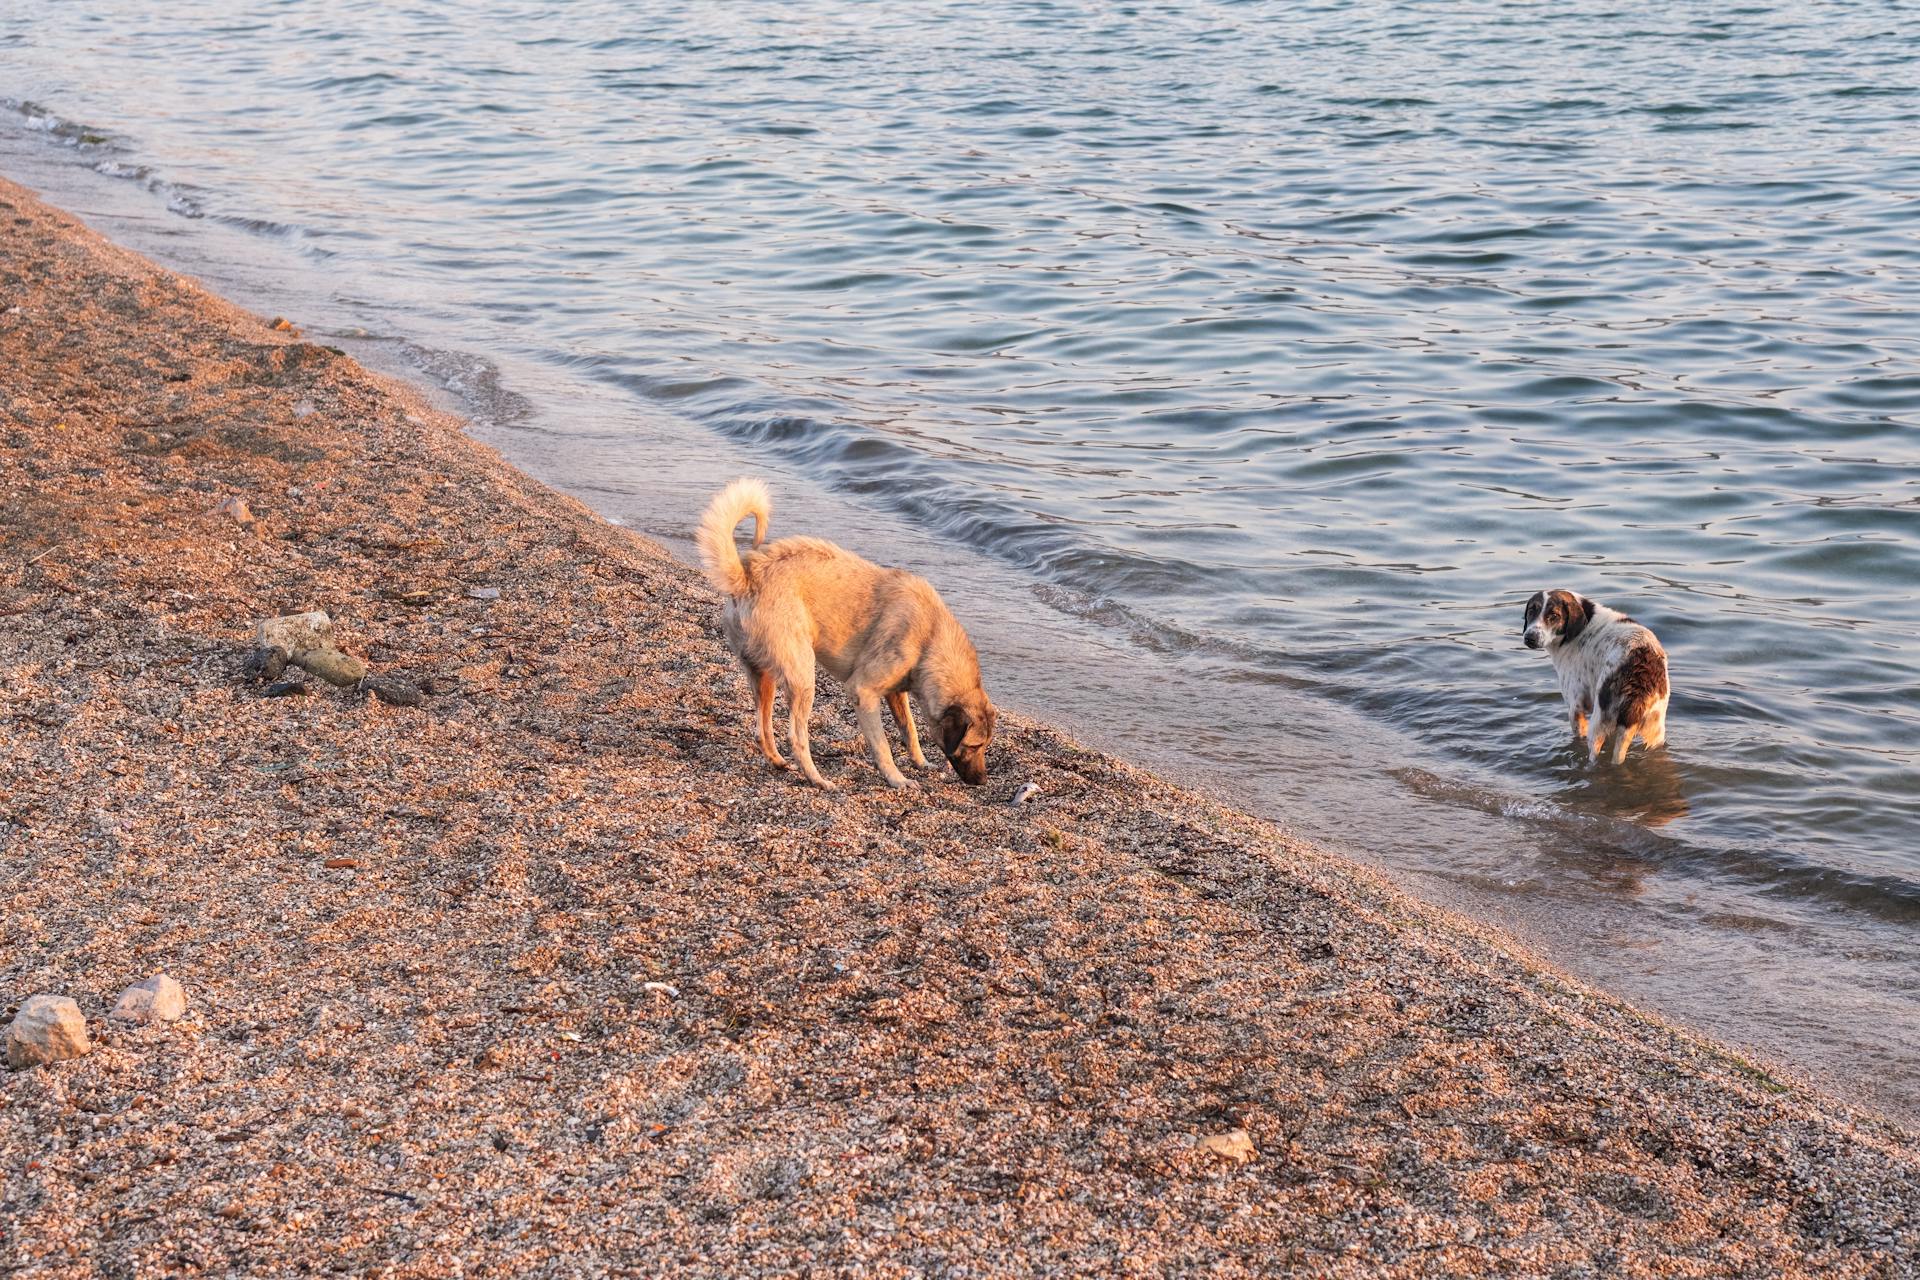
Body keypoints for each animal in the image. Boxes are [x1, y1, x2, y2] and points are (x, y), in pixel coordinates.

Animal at [695, 479, 998, 790]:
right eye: (973, 746)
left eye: (985, 746)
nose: (982, 780)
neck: (930, 638)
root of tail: (747, 579)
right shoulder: (863, 692)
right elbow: (883, 746)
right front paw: (897, 779)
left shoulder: (896, 693)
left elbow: (910, 730)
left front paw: (921, 762)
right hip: (803, 678)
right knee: (797, 737)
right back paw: (818, 779)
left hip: (763, 676)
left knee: (762, 728)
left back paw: (778, 762)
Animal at [1528, 587, 1666, 759]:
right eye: (1531, 611)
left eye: (1553, 615)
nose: (1529, 637)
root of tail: (1641, 670)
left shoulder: (1575, 708)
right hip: (1655, 730)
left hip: (1597, 725)